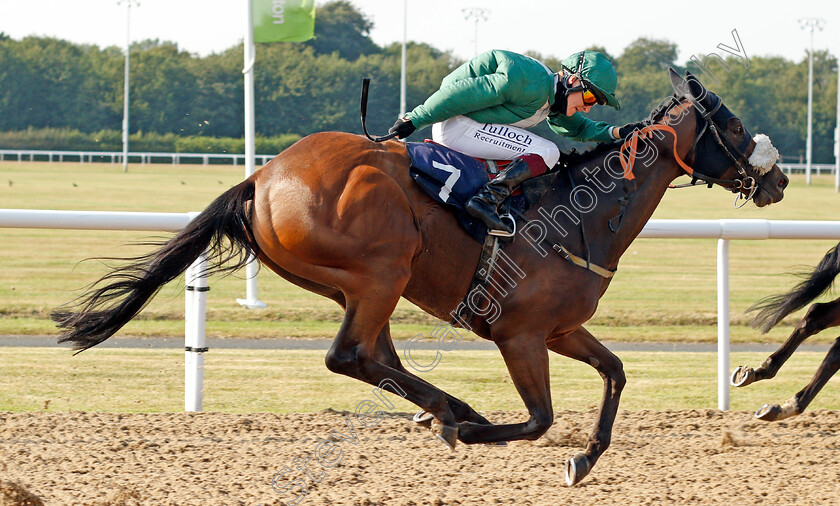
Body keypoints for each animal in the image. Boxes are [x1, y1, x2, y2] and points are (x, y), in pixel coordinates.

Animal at [50, 69, 788, 484]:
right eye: (734, 124)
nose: (779, 179)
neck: (581, 216)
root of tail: (260, 177)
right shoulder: (520, 335)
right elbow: (540, 419)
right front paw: (484, 433)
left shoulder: (559, 329)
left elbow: (615, 372)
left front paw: (583, 460)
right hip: (383, 267)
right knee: (350, 355)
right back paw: (453, 415)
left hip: (358, 284)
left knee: (375, 356)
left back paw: (446, 408)